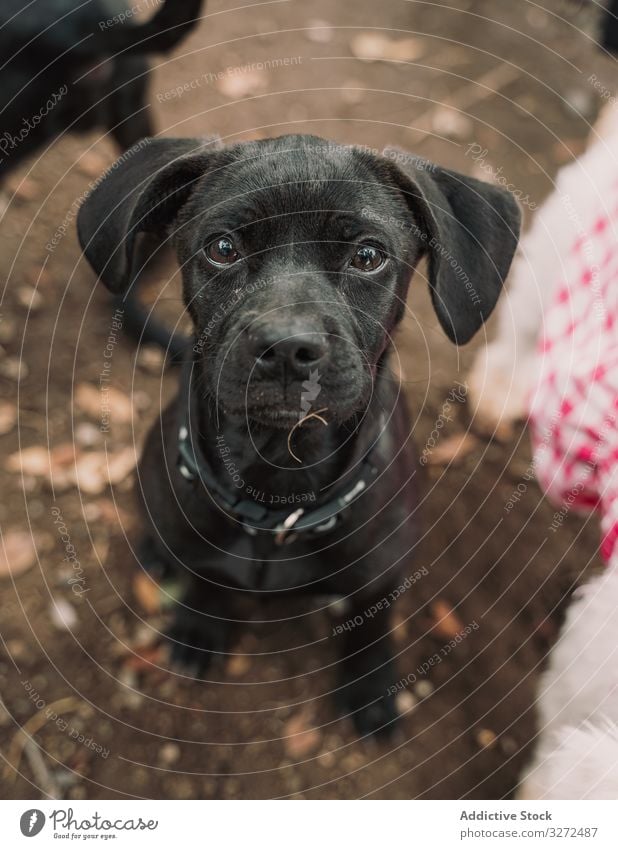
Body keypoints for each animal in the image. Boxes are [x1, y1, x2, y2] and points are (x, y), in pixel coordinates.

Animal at [77, 134, 520, 736]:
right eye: (222, 248)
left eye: (368, 256)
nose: (286, 348)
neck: (278, 489)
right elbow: (204, 586)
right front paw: (198, 633)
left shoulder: (382, 574)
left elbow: (369, 627)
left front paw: (372, 687)